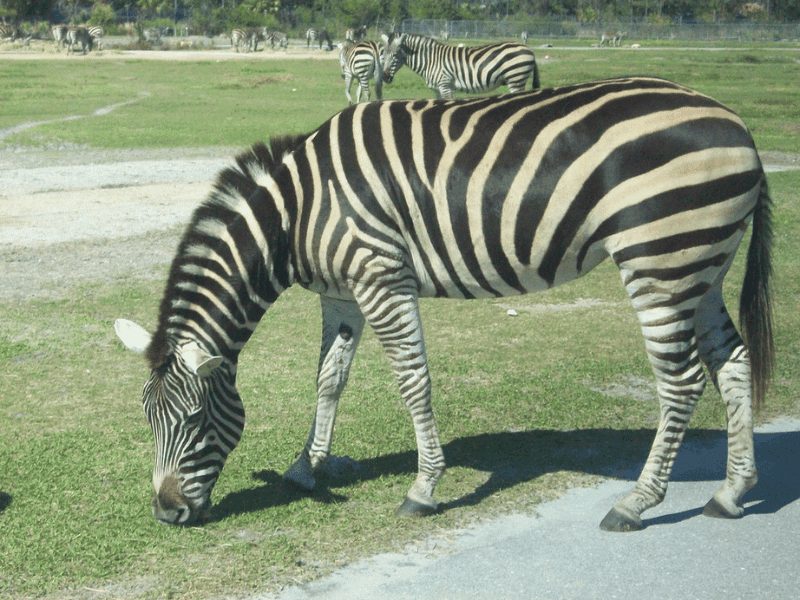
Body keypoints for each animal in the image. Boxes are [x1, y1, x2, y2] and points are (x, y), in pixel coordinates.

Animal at [115, 77, 772, 532]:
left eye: (194, 421)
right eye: (148, 419)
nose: (166, 514)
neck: (296, 212)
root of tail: (739, 125)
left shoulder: (381, 275)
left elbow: (413, 380)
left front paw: (423, 488)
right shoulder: (341, 293)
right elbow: (329, 379)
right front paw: (307, 467)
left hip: (659, 259)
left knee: (682, 381)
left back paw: (636, 503)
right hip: (701, 264)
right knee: (733, 363)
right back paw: (730, 493)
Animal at [382, 32, 544, 99]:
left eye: (395, 55)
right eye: (383, 54)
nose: (384, 77)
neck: (430, 60)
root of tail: (529, 50)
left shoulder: (445, 85)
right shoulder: (437, 89)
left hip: (516, 79)